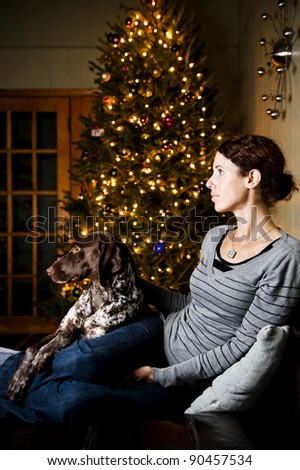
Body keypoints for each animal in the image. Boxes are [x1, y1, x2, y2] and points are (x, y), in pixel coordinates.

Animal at [6, 230, 143, 400]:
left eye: (77, 249)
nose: (48, 271)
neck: (100, 295)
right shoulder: (62, 329)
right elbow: (32, 348)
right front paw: (19, 378)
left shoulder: (89, 337)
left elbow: (57, 342)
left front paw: (38, 360)